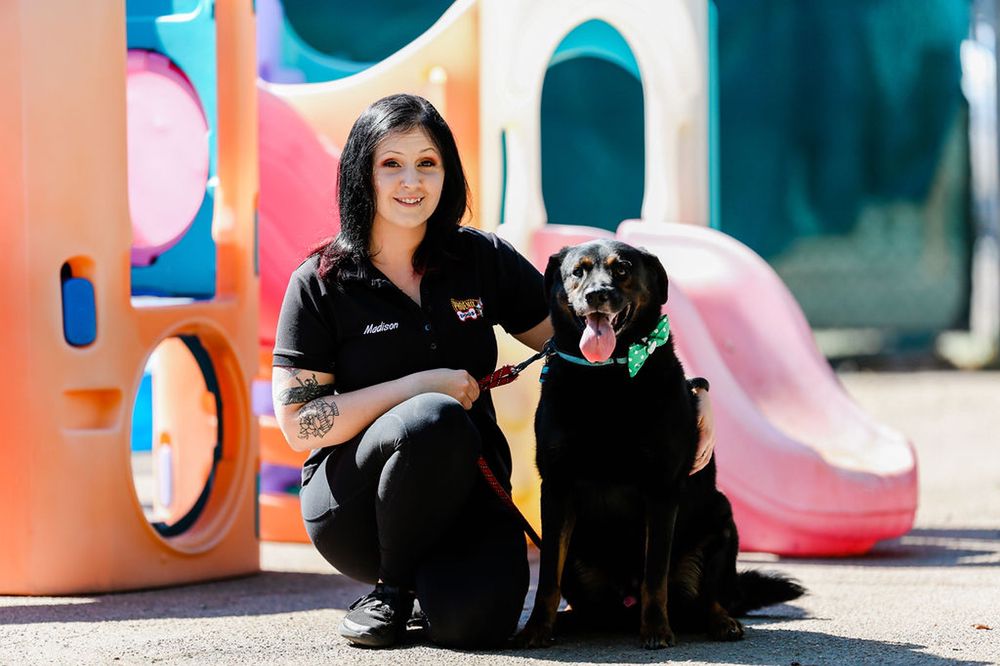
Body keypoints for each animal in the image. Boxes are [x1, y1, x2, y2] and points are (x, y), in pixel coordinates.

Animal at [515, 239, 804, 649]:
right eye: (578, 271)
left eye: (622, 269)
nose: (597, 295)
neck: (606, 378)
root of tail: (624, 605)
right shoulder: (556, 489)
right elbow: (547, 581)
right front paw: (537, 628)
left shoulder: (662, 490)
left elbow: (655, 574)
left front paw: (655, 630)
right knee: (585, 604)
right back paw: (568, 622)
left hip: (722, 520)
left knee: (710, 597)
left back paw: (721, 621)